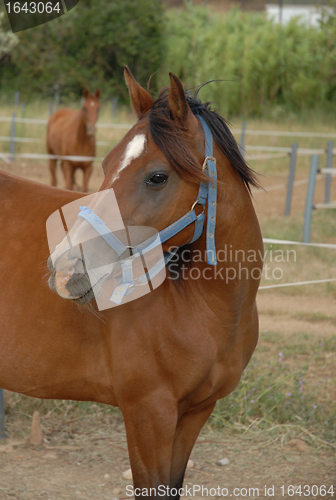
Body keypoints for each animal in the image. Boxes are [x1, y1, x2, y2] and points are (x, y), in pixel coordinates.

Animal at [0, 68, 262, 498]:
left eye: (157, 177)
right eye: (106, 164)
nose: (66, 268)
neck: (204, 307)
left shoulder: (195, 413)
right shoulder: (147, 415)